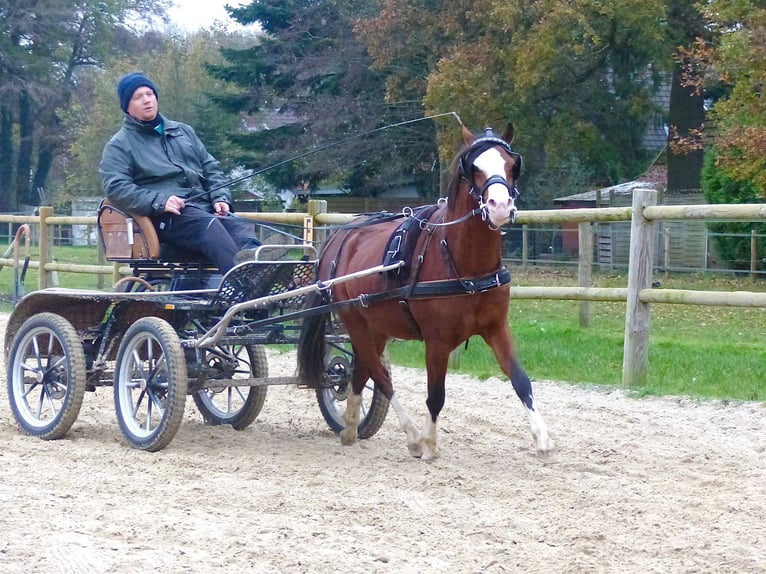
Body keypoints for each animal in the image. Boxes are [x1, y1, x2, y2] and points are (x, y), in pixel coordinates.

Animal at [296, 124, 556, 462]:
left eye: (512, 165)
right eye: (473, 168)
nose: (500, 207)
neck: (463, 264)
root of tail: (339, 238)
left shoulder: (496, 327)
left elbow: (521, 381)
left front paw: (542, 439)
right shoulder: (437, 340)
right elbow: (435, 395)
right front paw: (431, 444)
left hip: (375, 326)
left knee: (361, 371)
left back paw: (350, 428)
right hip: (354, 320)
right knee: (381, 376)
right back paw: (412, 437)